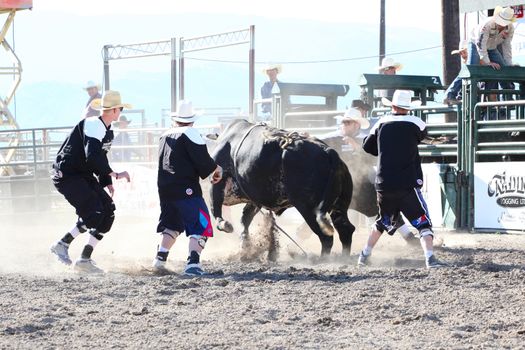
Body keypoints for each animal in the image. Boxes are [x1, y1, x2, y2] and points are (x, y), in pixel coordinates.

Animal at [209, 119, 376, 256]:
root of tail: (330, 153)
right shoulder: (254, 196)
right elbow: (245, 218)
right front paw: (244, 245)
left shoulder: (218, 182)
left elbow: (216, 208)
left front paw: (225, 225)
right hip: (338, 205)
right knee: (345, 229)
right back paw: (343, 258)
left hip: (308, 208)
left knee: (326, 236)